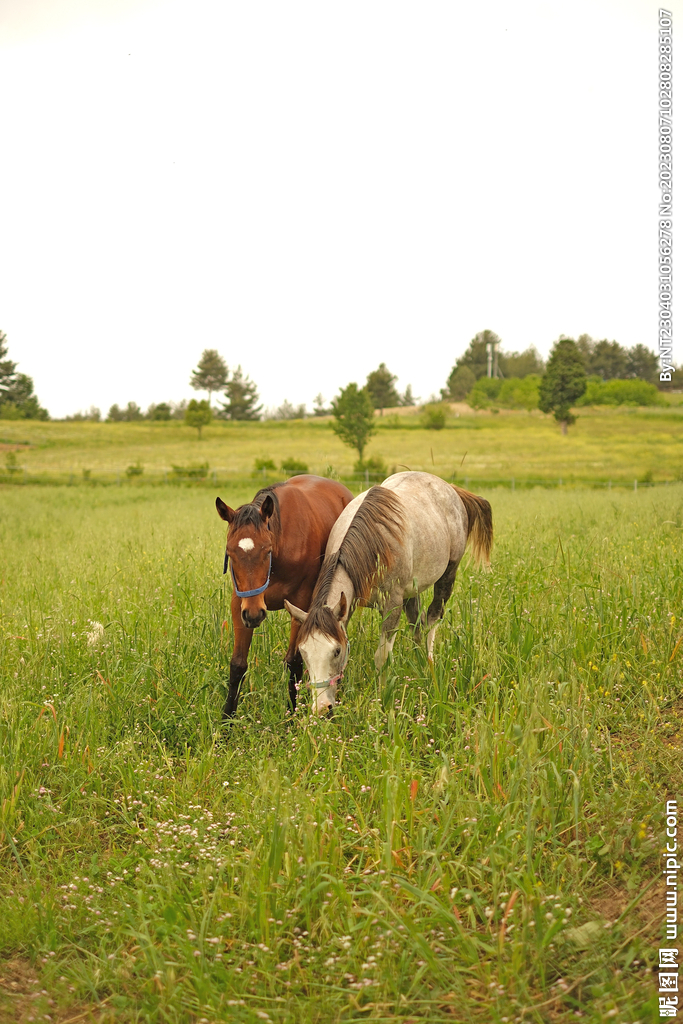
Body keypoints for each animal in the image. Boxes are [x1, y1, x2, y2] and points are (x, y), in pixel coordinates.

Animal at [216, 475, 353, 718]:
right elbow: (238, 664)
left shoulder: (301, 604)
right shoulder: (240, 605)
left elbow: (294, 662)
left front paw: (292, 713)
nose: (254, 614)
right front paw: (226, 721)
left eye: (267, 550)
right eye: (230, 553)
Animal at [285, 471, 493, 715]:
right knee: (417, 625)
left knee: (432, 619)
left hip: (447, 575)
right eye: (303, 652)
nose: (322, 708)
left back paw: (429, 664)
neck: (371, 544)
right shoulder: (348, 605)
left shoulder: (392, 605)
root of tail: (450, 489)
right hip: (412, 591)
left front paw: (381, 700)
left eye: (336, 651)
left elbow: (382, 657)